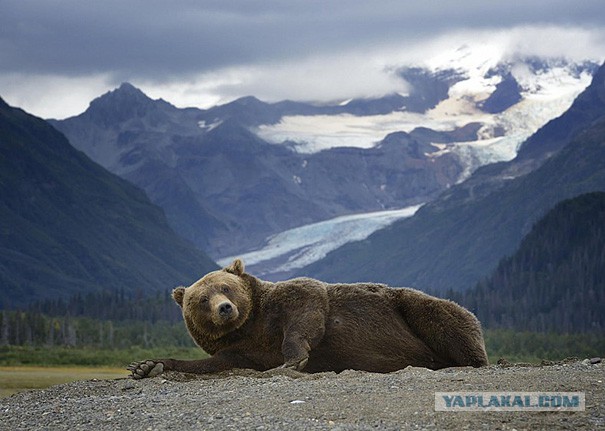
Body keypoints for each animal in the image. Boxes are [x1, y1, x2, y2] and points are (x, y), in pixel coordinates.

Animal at [127, 260, 486, 378]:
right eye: (202, 299)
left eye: (226, 286)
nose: (225, 308)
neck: (251, 326)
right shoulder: (240, 350)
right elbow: (209, 364)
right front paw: (147, 366)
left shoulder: (289, 301)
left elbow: (307, 309)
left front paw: (292, 360)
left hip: (411, 307)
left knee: (444, 318)